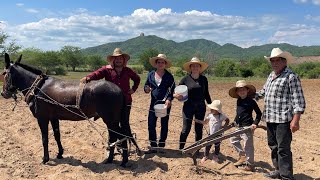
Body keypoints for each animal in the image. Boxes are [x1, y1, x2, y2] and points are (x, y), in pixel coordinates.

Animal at [0, 53, 131, 167]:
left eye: (3, 73)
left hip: (111, 120)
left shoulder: (42, 118)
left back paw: (123, 161)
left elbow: (44, 138)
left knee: (121, 136)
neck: (38, 87)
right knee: (114, 137)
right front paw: (60, 153)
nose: (3, 93)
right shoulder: (53, 118)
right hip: (111, 121)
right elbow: (57, 135)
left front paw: (45, 159)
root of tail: (119, 90)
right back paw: (110, 159)